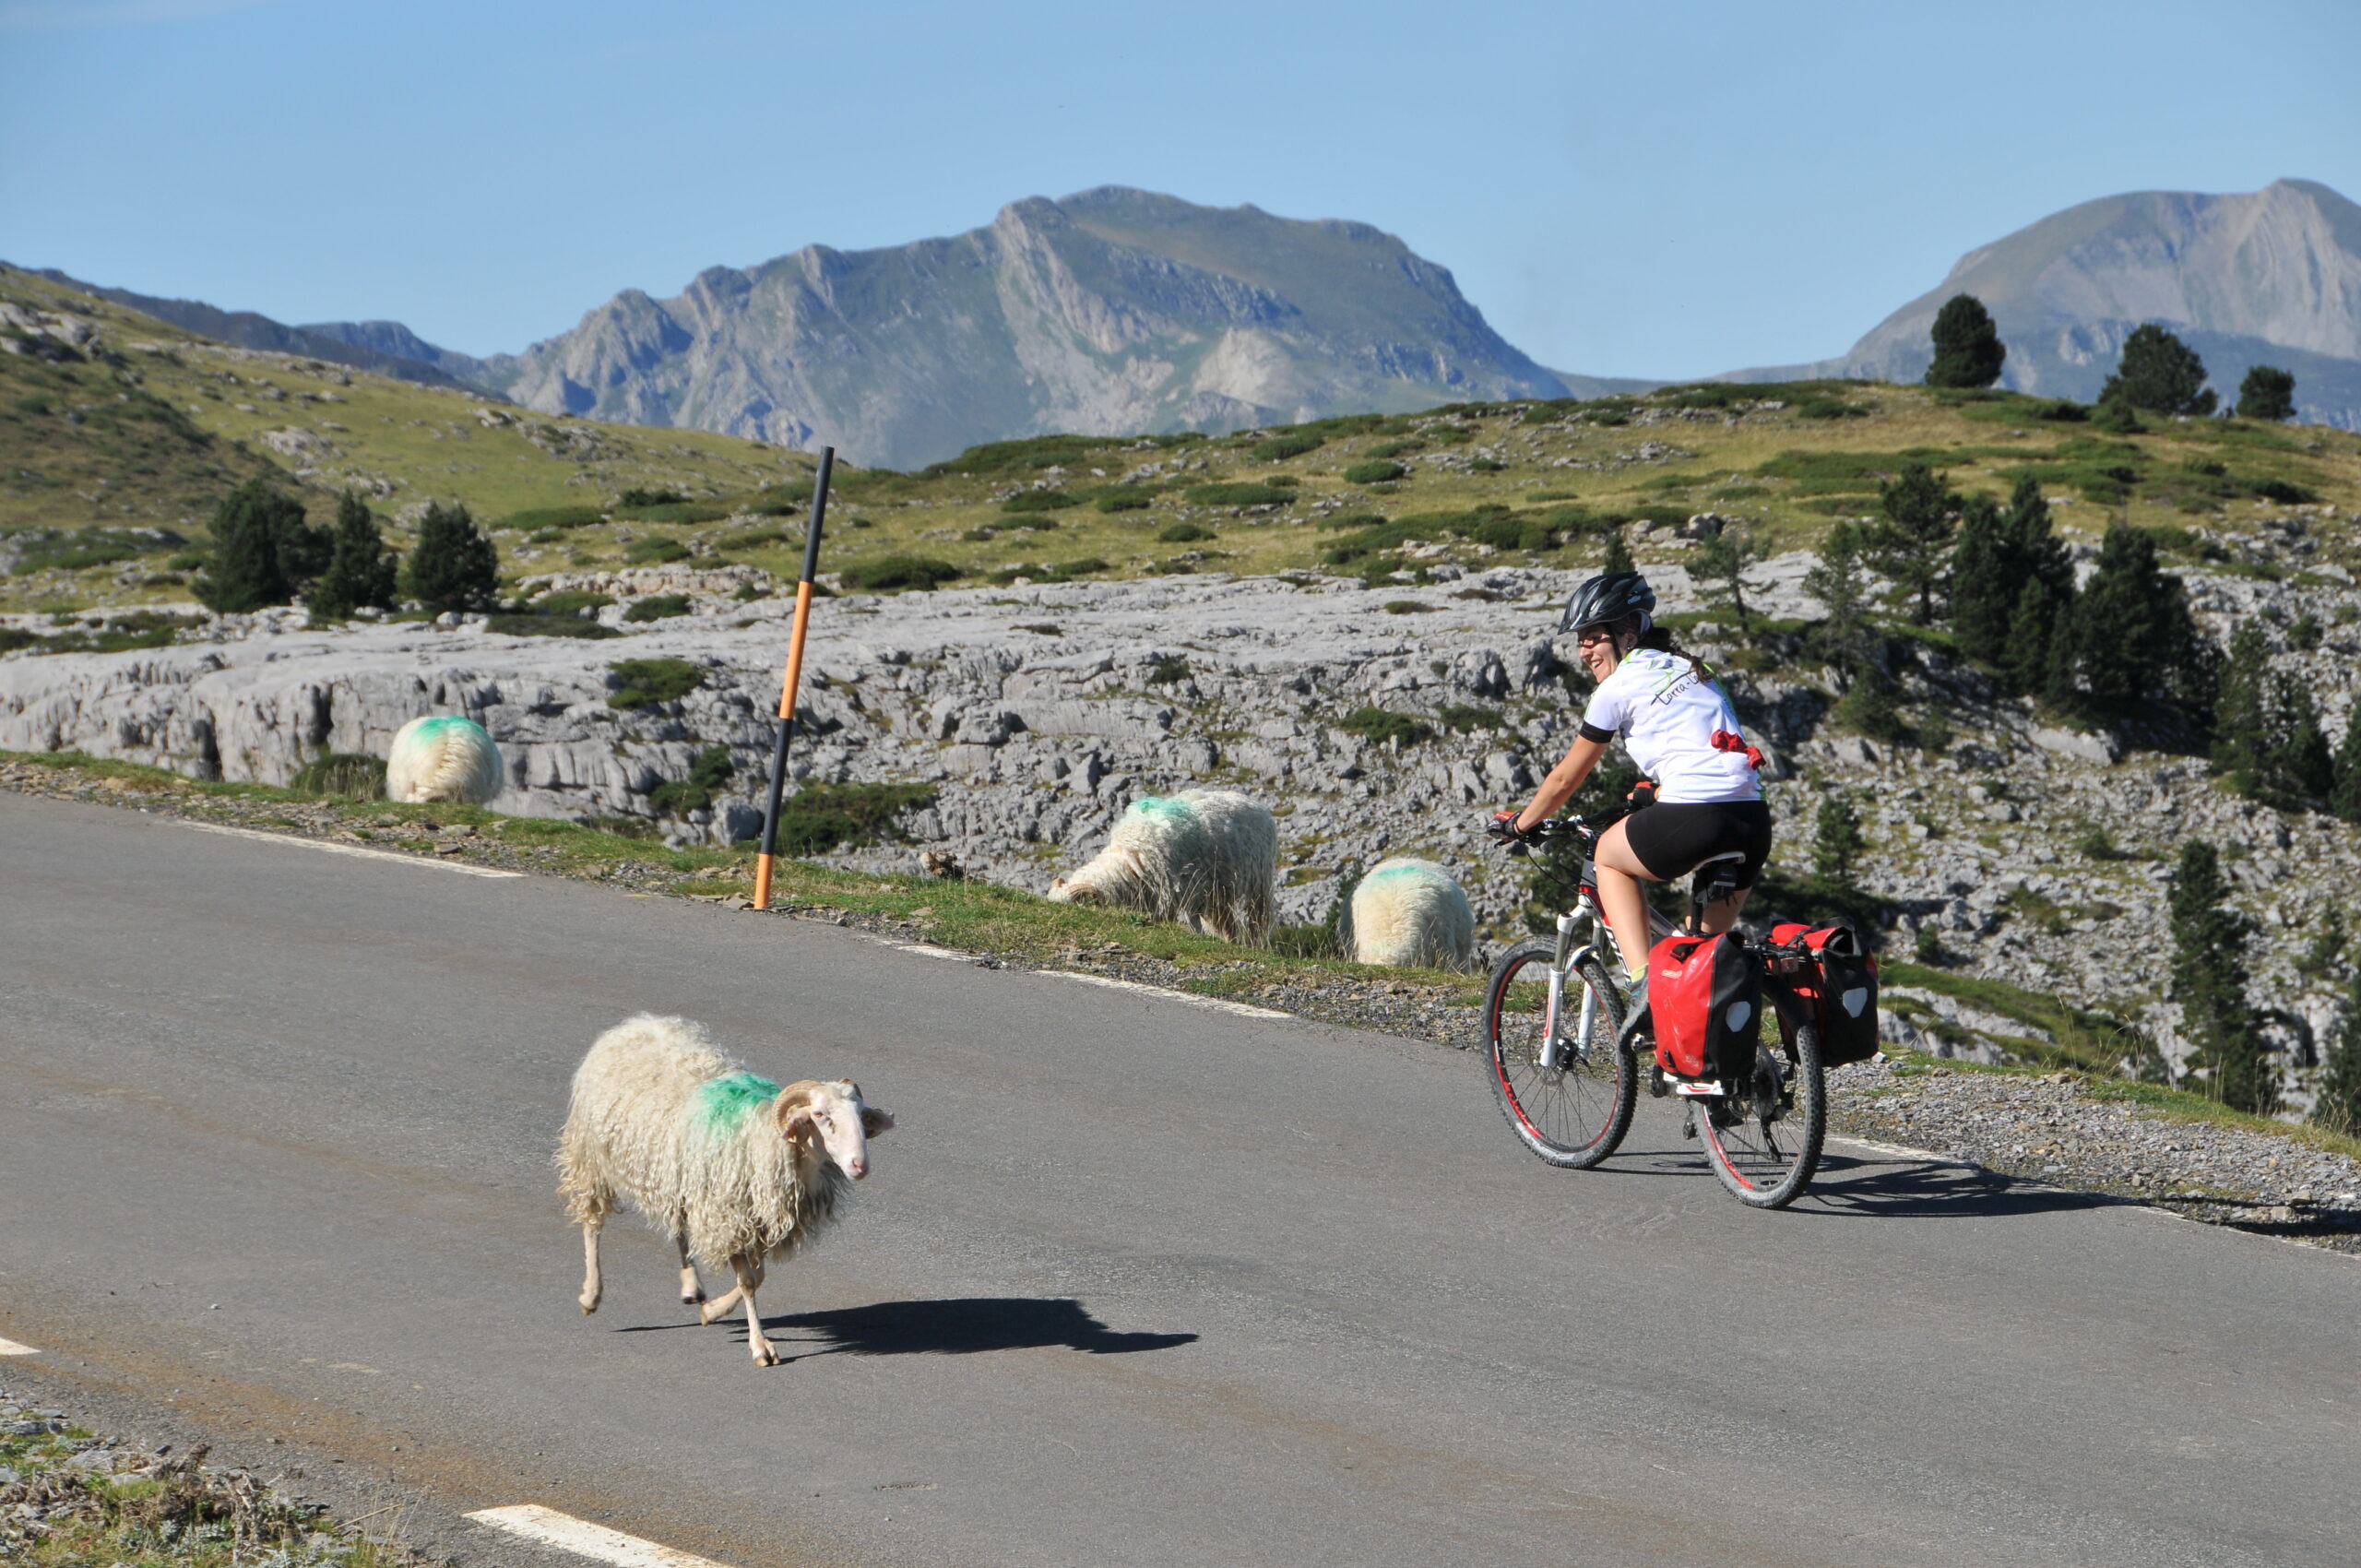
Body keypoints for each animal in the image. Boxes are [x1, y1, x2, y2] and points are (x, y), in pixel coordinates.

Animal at [554, 1015, 892, 1360]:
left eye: (861, 1117)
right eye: (821, 1115)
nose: (859, 1165)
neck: (766, 1139)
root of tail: (635, 1025)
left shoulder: (755, 1220)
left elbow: (758, 1276)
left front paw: (712, 1310)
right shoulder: (729, 1217)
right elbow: (748, 1281)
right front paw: (760, 1346)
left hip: (678, 1177)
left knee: (678, 1225)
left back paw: (691, 1286)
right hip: (591, 1156)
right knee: (593, 1222)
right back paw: (591, 1294)